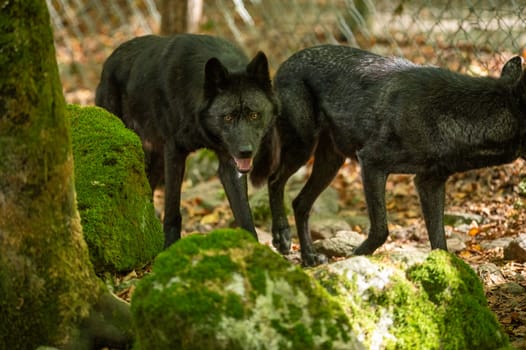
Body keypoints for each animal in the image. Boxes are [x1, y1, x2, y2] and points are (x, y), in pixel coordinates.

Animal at [98, 32, 280, 246]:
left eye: (254, 115)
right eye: (227, 117)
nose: (246, 151)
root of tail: (111, 57)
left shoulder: (229, 163)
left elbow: (244, 215)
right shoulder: (174, 153)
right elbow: (172, 211)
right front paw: (170, 245)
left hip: (157, 161)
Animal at [253, 45, 526, 266]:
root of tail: (286, 62)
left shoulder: (429, 182)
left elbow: (440, 244)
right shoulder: (371, 163)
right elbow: (381, 229)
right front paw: (355, 257)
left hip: (331, 162)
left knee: (300, 203)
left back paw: (309, 257)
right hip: (303, 147)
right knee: (275, 180)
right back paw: (281, 236)